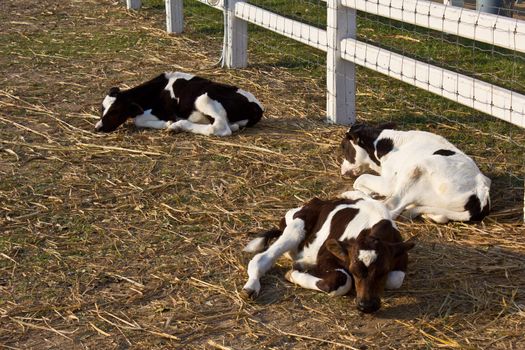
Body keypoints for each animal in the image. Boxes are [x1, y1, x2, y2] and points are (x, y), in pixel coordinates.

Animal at [95, 72, 262, 136]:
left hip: (202, 98)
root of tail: (258, 107)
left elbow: (138, 119)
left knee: (219, 128)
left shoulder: (164, 110)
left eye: (115, 111)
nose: (98, 128)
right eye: (102, 109)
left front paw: (167, 123)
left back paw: (177, 125)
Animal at [242, 191, 414, 314]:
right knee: (261, 258)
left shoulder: (400, 256)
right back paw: (251, 287)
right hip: (298, 226)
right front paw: (293, 274)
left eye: (383, 271)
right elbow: (341, 279)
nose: (367, 306)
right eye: (354, 270)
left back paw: (303, 263)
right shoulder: (327, 254)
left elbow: (394, 279)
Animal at [340, 123, 492, 223]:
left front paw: (369, 192)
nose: (342, 171)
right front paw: (371, 192)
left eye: (344, 147)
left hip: (416, 171)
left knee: (390, 207)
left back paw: (351, 195)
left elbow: (360, 179)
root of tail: (481, 194)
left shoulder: (390, 182)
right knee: (438, 216)